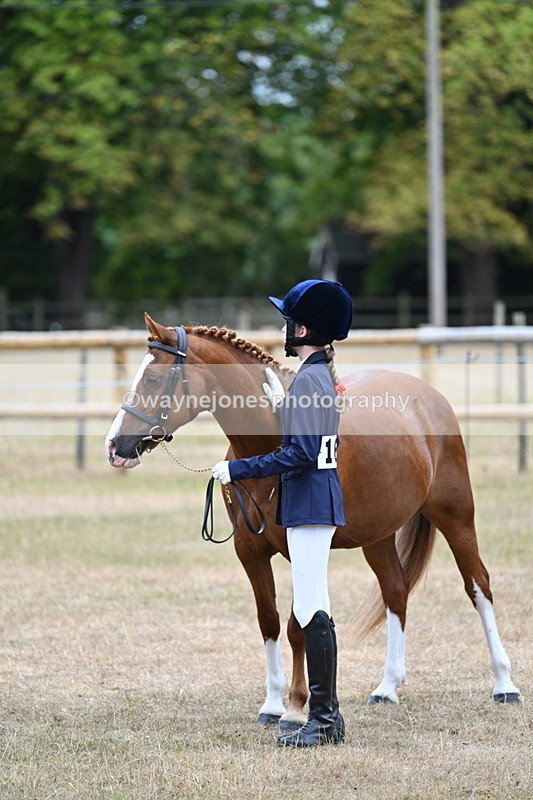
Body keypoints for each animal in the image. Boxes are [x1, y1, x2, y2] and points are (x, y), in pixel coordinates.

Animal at [105, 313, 520, 729]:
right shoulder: (249, 551)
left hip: (456, 515)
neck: (268, 447)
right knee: (396, 592)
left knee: (478, 586)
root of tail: (428, 396)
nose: (114, 446)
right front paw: (272, 703)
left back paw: (504, 684)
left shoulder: (298, 546)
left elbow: (296, 627)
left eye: (152, 378)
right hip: (378, 535)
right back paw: (387, 687)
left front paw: (294, 706)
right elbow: (269, 621)